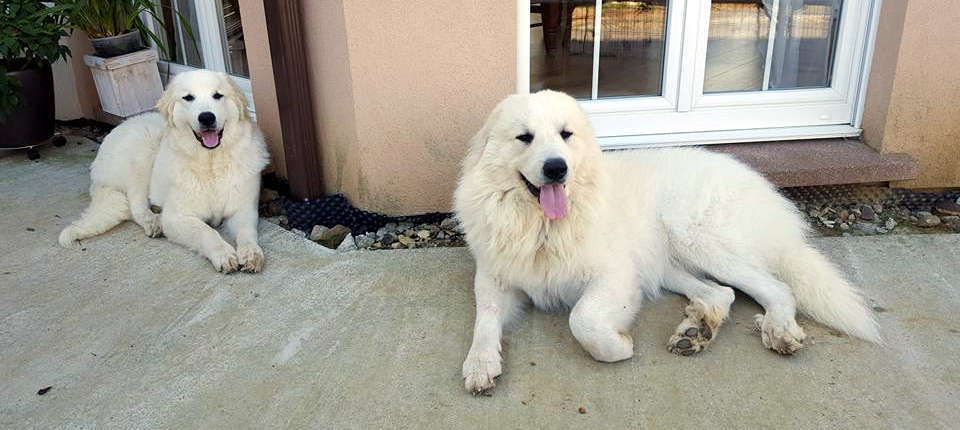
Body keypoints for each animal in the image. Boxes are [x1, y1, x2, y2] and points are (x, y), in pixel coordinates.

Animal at [59, 70, 270, 272]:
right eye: (188, 98)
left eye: (218, 95)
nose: (207, 117)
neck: (211, 163)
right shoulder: (176, 217)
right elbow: (206, 232)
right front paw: (224, 254)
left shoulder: (243, 209)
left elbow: (247, 233)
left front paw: (251, 254)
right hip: (143, 150)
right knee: (135, 205)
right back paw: (153, 221)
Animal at [454, 90, 880, 394]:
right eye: (524, 138)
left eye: (565, 134)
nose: (557, 168)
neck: (542, 225)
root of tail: (766, 190)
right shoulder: (494, 276)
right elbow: (484, 319)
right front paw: (480, 363)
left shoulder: (616, 277)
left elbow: (583, 321)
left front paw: (619, 346)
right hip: (667, 262)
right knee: (721, 293)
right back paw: (696, 330)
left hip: (698, 239)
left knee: (777, 288)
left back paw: (776, 328)